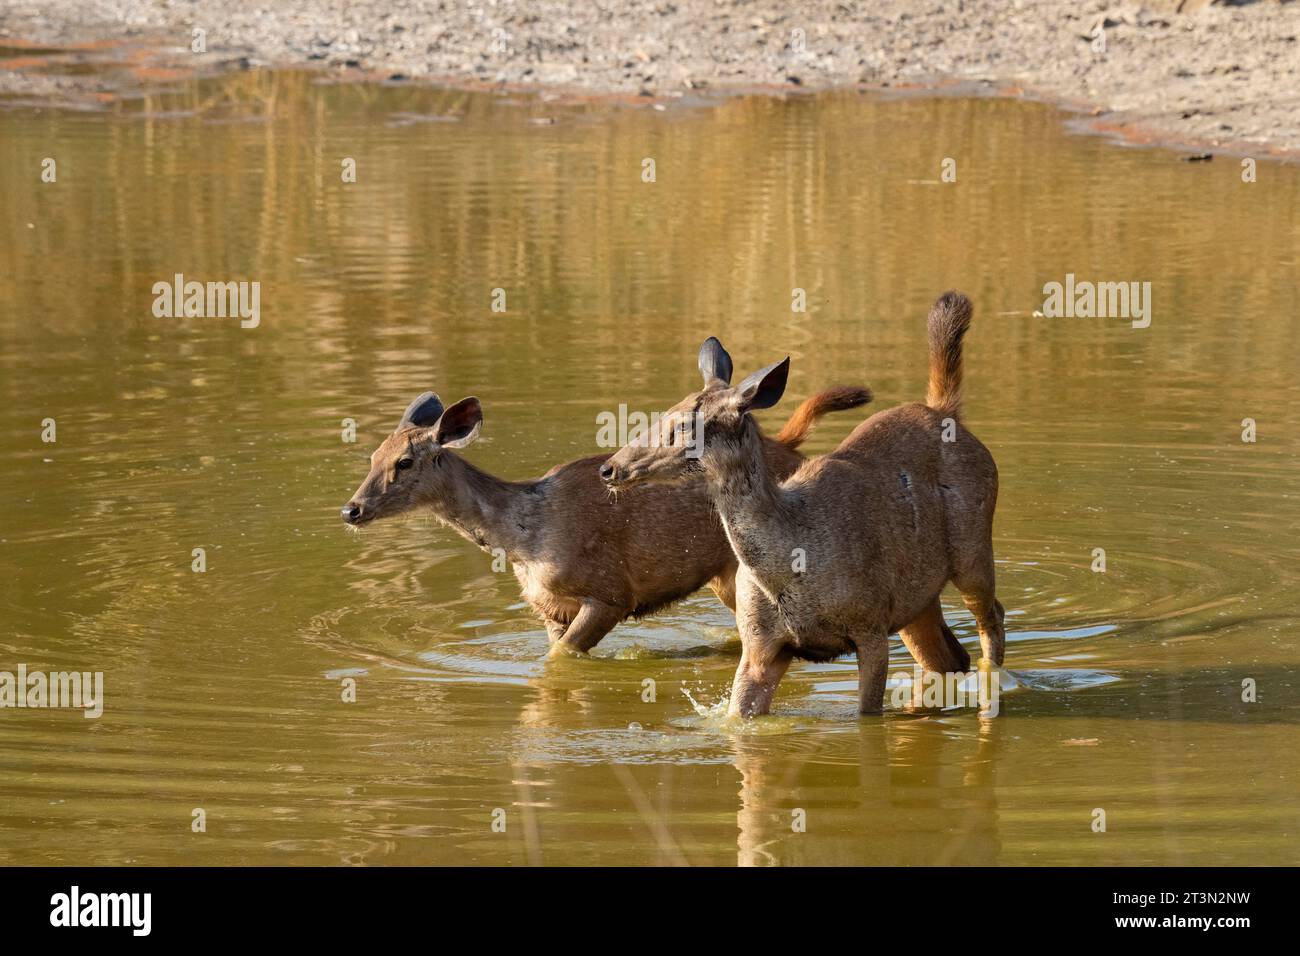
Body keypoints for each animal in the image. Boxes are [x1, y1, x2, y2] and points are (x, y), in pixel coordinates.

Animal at [338, 374, 883, 658]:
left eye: (404, 462)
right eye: (371, 457)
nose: (351, 509)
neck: (523, 537)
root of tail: (788, 445)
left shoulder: (610, 593)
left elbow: (559, 662)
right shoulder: (547, 609)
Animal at [600, 291, 1003, 717]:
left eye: (683, 427)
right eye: (662, 415)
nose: (609, 468)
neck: (792, 563)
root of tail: (945, 411)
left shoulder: (870, 627)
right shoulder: (760, 646)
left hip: (972, 548)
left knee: (992, 619)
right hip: (916, 597)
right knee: (948, 658)